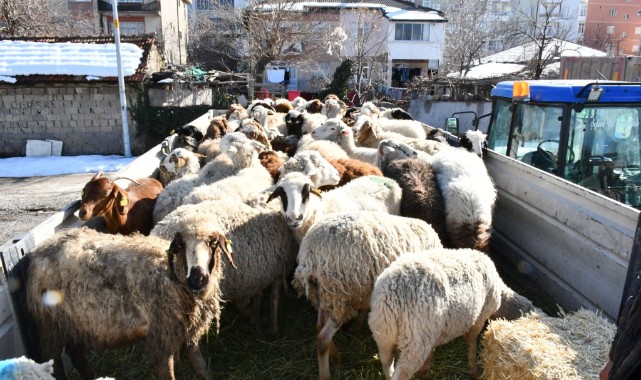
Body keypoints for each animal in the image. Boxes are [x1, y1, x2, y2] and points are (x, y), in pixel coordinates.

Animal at [18, 227, 234, 378]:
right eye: (180, 246)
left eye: (212, 243)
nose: (197, 278)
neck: (169, 273)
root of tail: (38, 251)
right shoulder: (161, 337)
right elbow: (170, 372)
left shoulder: (184, 331)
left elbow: (199, 366)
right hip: (51, 325)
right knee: (53, 361)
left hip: (76, 322)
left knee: (75, 353)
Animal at [292, 211, 442, 380]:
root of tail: (310, 256)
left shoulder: (367, 291)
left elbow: (365, 308)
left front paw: (356, 327)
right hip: (341, 297)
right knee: (322, 339)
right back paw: (326, 374)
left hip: (325, 296)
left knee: (319, 326)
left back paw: (337, 357)